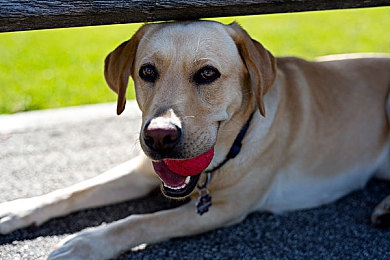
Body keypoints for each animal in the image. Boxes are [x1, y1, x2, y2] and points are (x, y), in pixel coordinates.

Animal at [0, 21, 390, 258]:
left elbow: (142, 221)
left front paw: (88, 242)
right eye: (147, 71)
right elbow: (74, 191)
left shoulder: (223, 209)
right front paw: (18, 209)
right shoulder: (142, 171)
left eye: (207, 74)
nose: (159, 137)